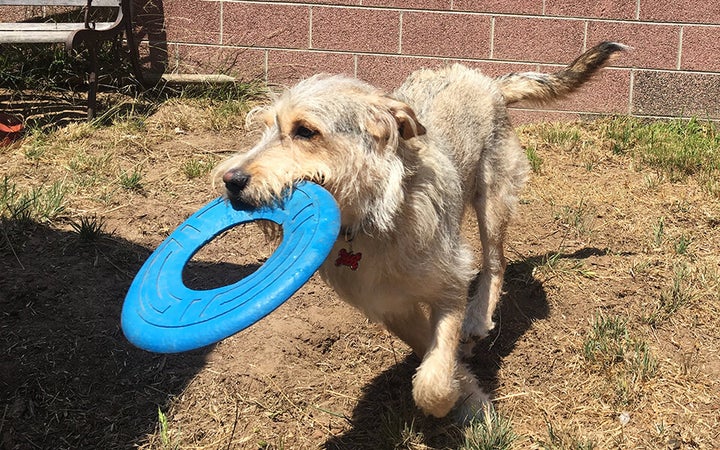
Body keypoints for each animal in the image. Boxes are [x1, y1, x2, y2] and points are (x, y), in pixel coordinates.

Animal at [212, 41, 624, 418]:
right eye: (266, 129)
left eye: (305, 131)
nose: (231, 180)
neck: (376, 222)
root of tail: (486, 80)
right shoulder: (391, 307)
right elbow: (431, 350)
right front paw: (466, 387)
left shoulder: (451, 284)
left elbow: (433, 381)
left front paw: (460, 401)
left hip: (493, 199)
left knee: (496, 263)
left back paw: (477, 318)